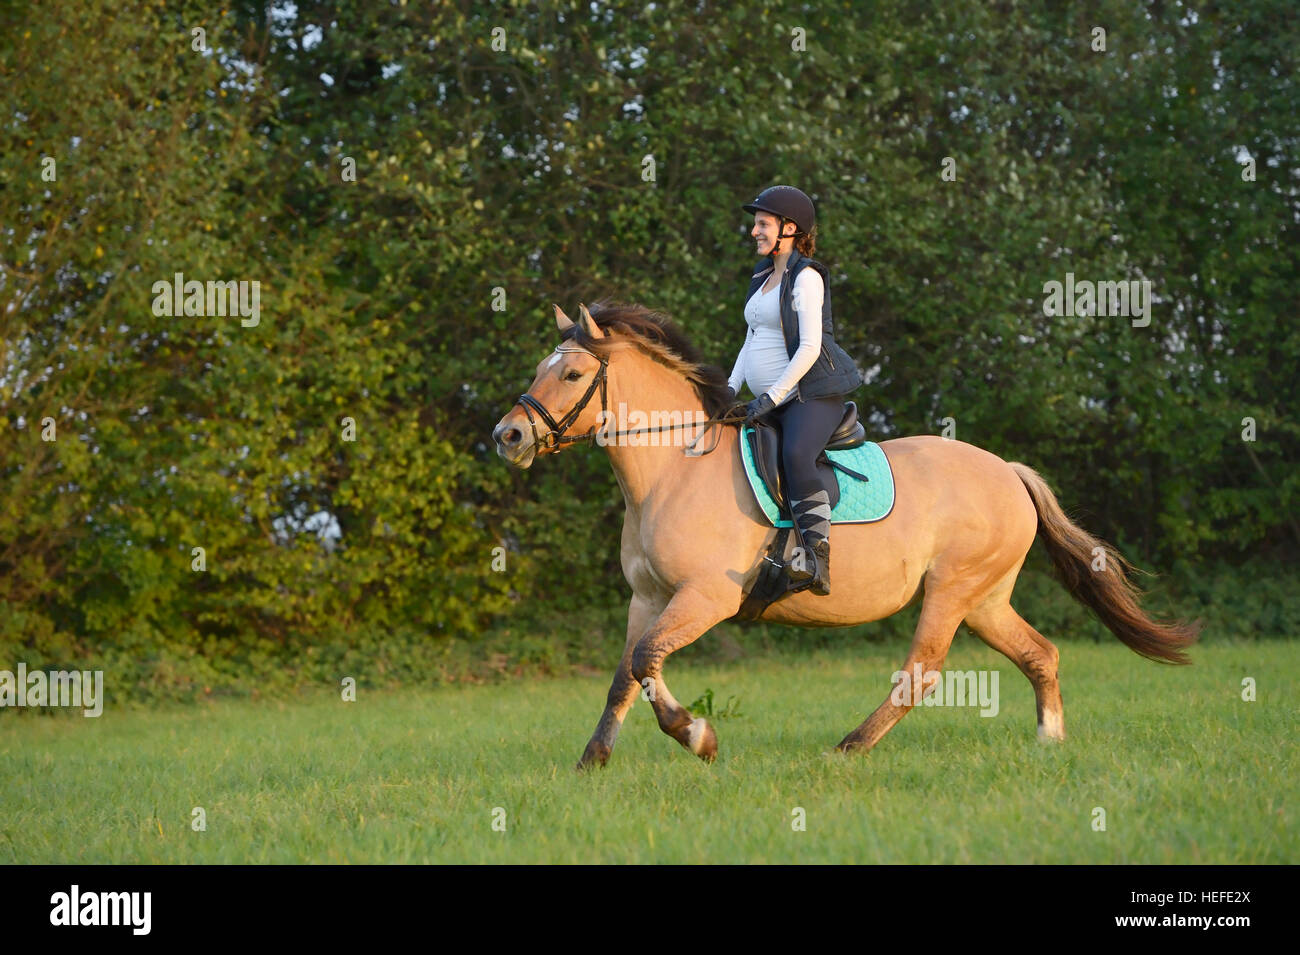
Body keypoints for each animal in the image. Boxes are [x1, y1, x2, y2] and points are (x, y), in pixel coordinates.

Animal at [488, 302, 1196, 774]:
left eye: (571, 377)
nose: (508, 436)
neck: (673, 467)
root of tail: (1009, 472)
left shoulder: (703, 599)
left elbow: (645, 663)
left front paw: (698, 736)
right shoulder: (648, 598)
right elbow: (626, 675)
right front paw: (593, 760)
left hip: (953, 589)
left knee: (922, 671)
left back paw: (850, 747)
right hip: (986, 599)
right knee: (1039, 654)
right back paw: (1049, 741)